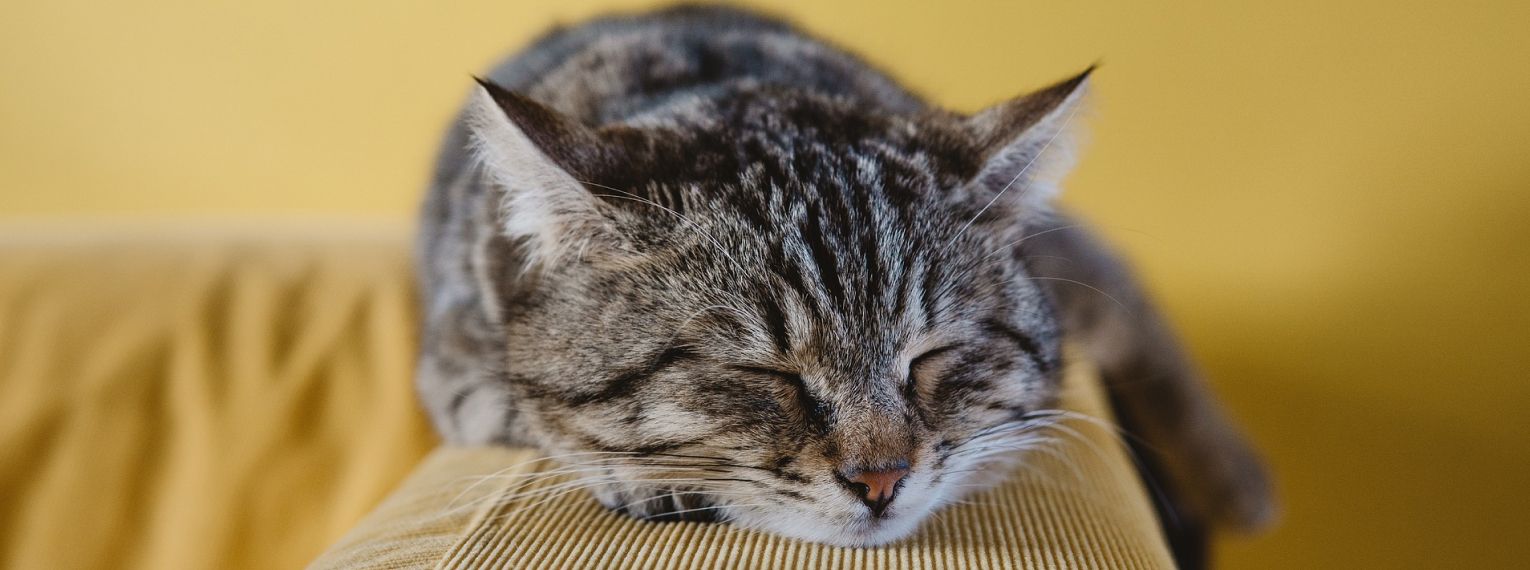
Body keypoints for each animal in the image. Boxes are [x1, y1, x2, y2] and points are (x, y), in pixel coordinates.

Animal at [413, 2, 1272, 547]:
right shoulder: (455, 373)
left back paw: (1236, 476)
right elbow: (531, 417)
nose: (882, 479)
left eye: (930, 358)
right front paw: (647, 477)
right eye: (766, 375)